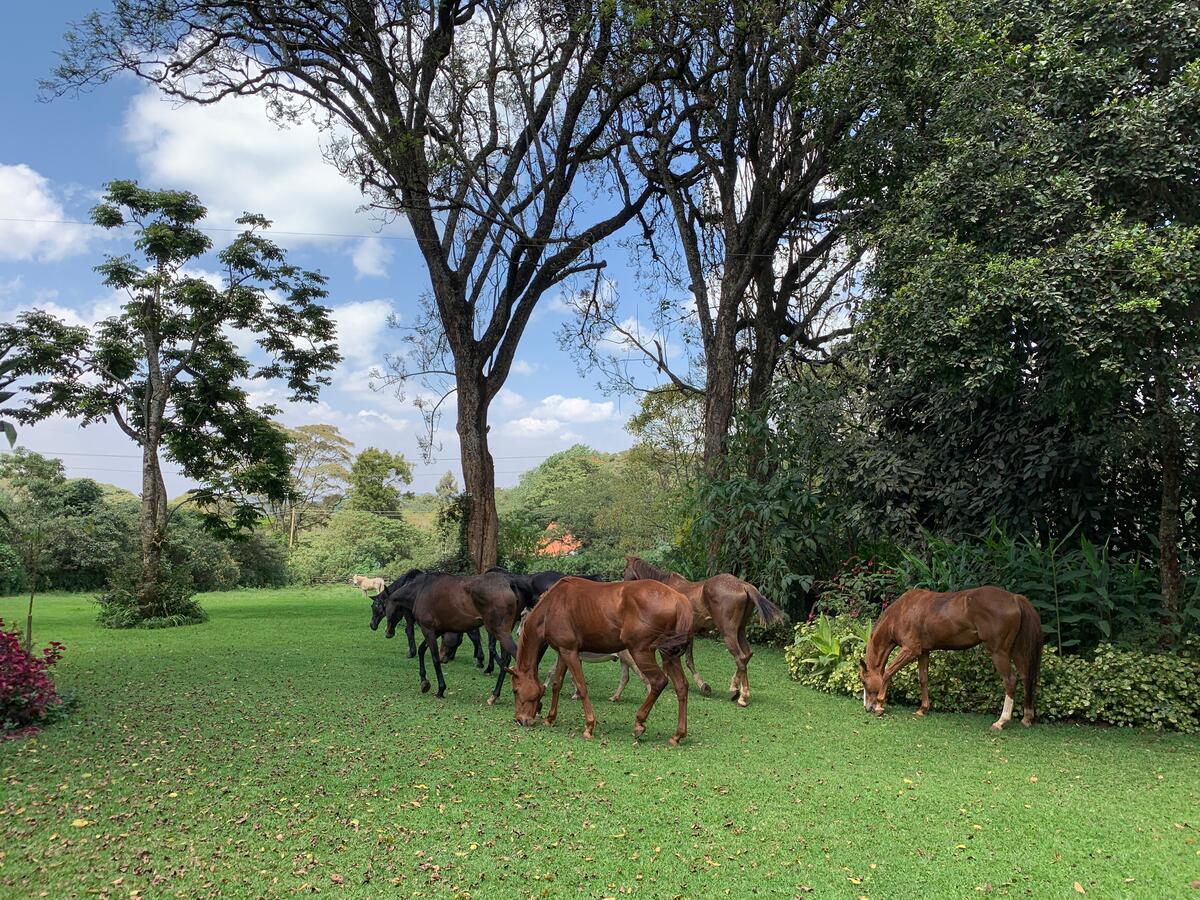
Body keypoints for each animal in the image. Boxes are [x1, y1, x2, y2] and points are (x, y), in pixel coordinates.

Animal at [508, 578, 696, 748]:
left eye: (515, 690)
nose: (520, 719)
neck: (552, 605)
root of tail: (679, 598)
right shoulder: (562, 652)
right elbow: (556, 684)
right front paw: (550, 718)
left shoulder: (570, 653)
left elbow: (581, 687)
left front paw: (589, 726)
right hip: (669, 655)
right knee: (681, 686)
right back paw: (677, 735)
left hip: (641, 652)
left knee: (658, 681)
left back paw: (639, 723)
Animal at [624, 554, 782, 710]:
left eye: (625, 570)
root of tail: (743, 585)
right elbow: (688, 659)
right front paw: (702, 685)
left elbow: (680, 659)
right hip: (740, 631)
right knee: (747, 655)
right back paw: (734, 688)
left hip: (728, 633)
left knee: (741, 658)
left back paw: (742, 696)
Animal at [859, 588, 1046, 729]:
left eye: (863, 681)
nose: (867, 707)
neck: (903, 611)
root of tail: (1014, 598)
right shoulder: (923, 652)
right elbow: (923, 679)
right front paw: (923, 709)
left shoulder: (910, 650)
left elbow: (888, 673)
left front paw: (880, 705)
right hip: (1015, 651)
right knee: (1026, 677)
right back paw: (1027, 717)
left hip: (999, 652)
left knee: (1010, 680)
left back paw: (1001, 721)